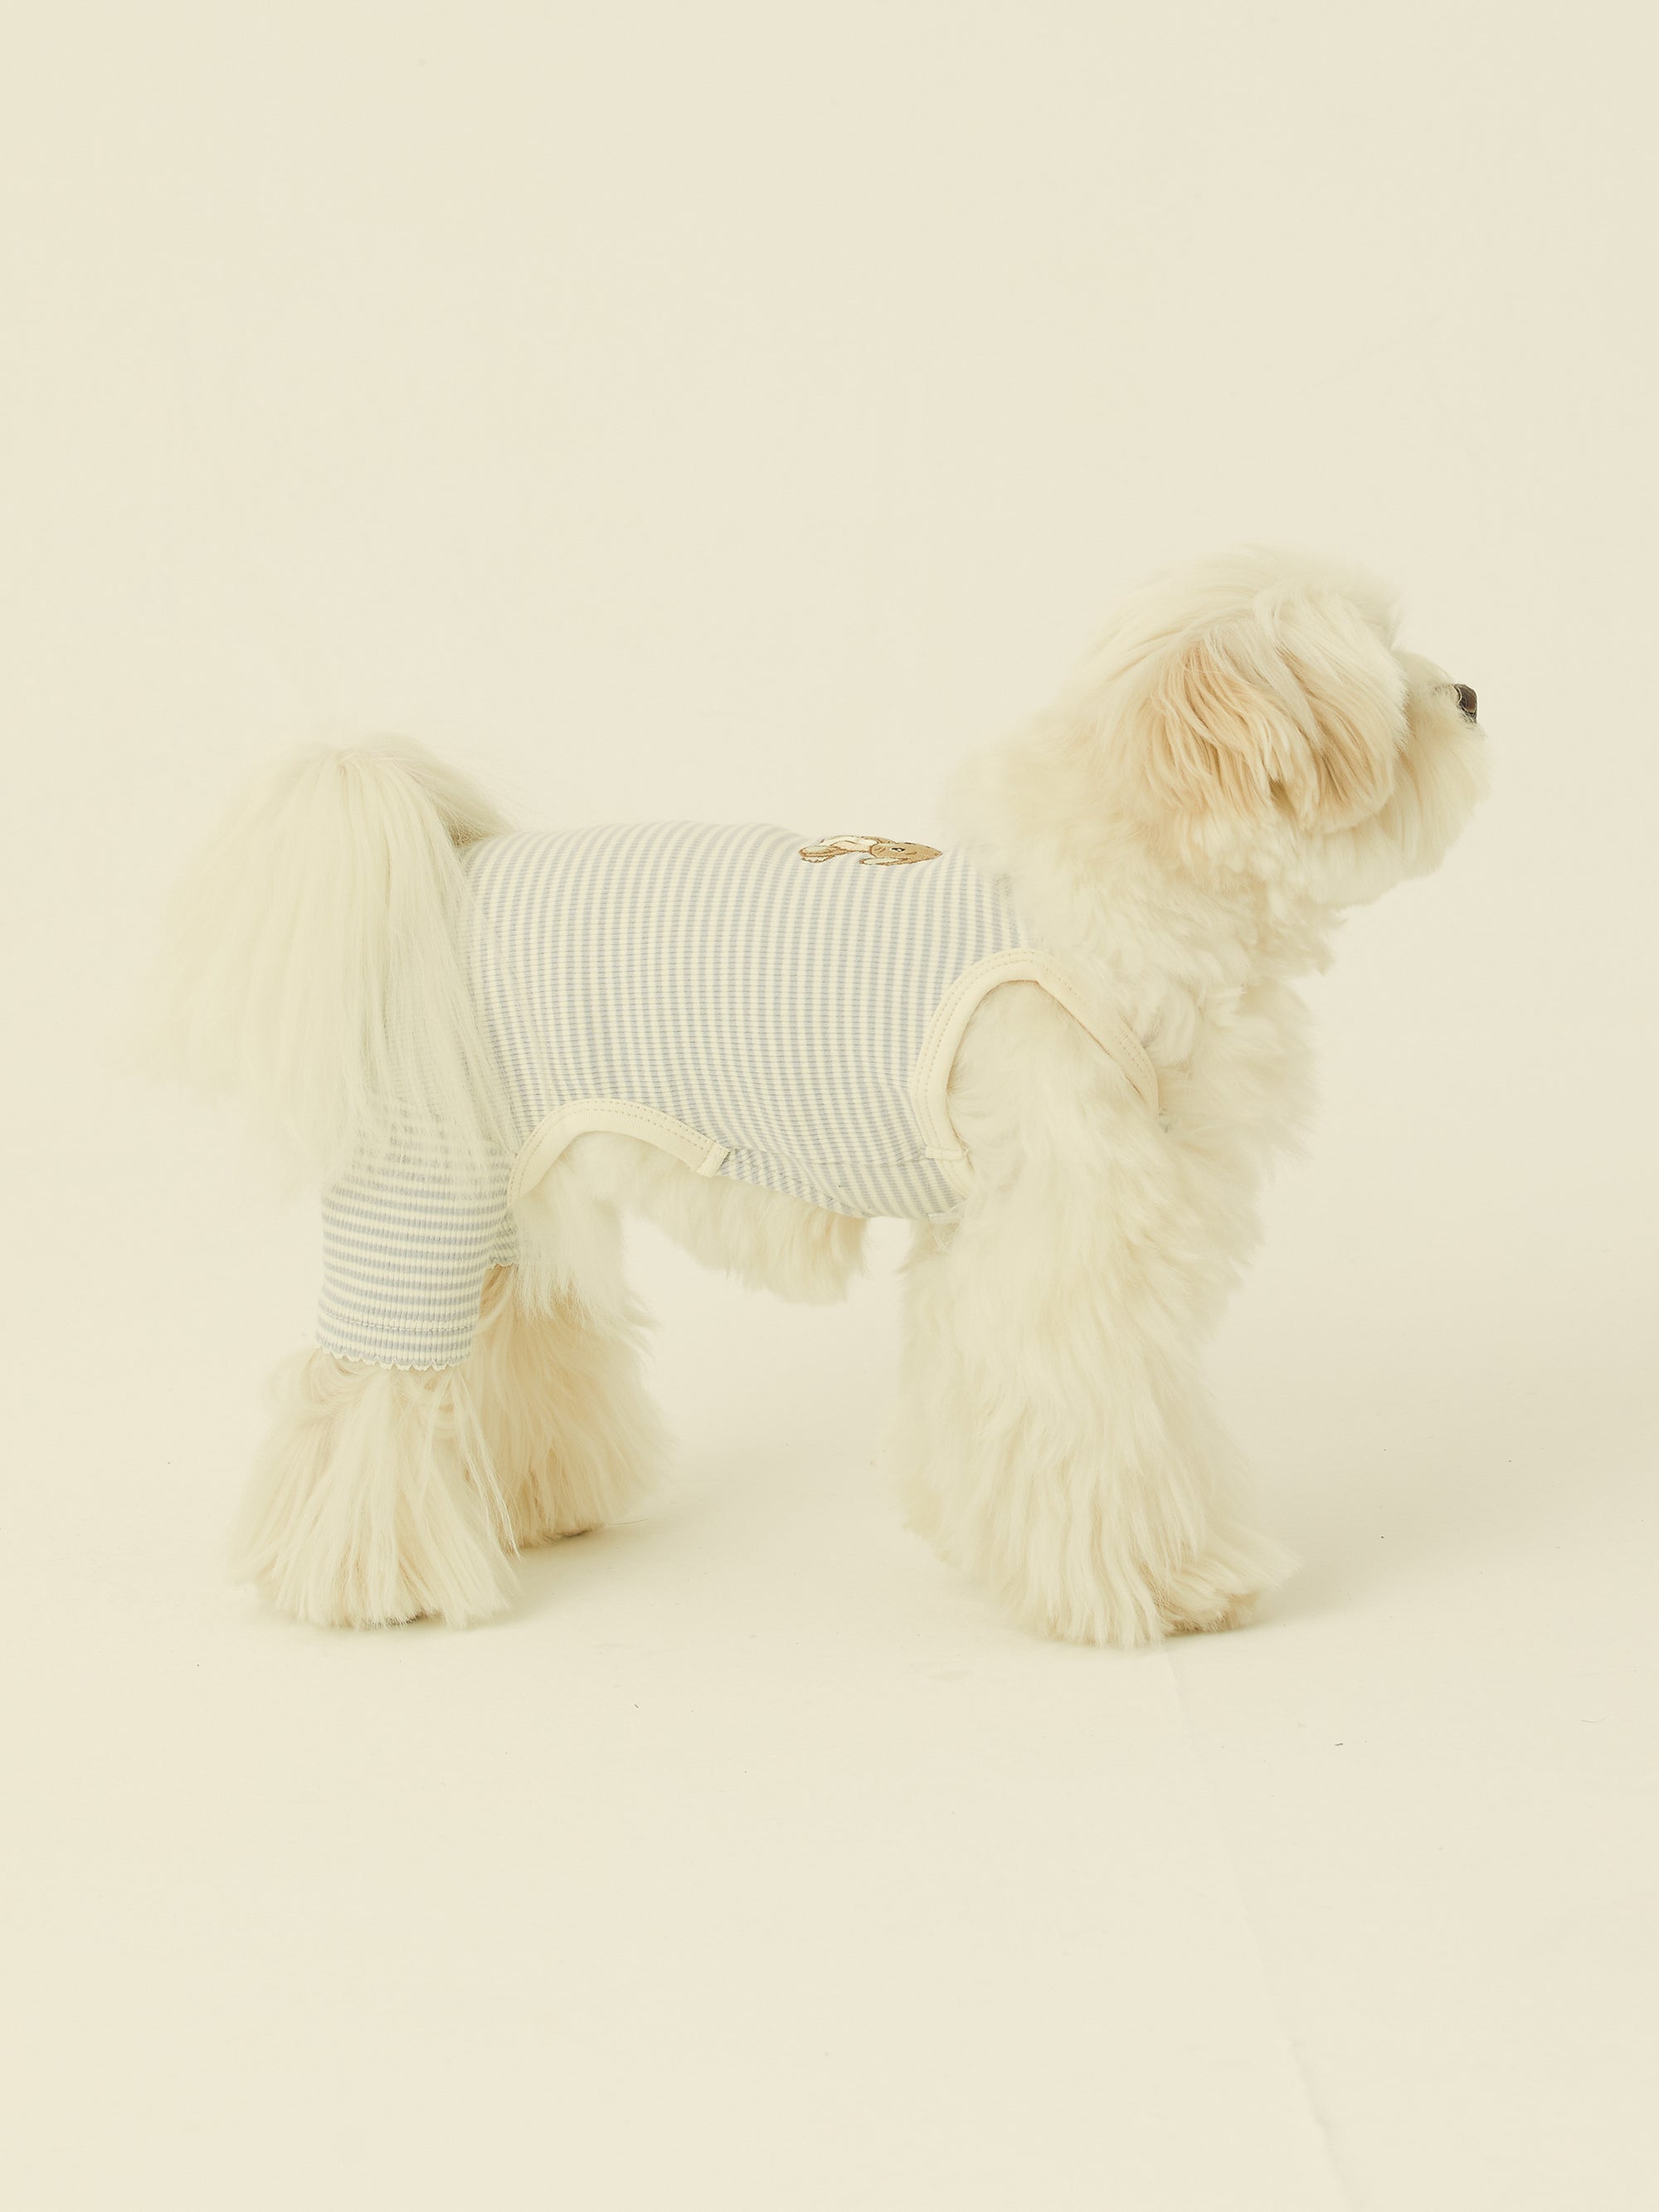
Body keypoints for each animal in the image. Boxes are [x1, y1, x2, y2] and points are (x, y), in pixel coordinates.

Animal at [153, 547, 1487, 1641]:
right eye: (1390, 679)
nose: (1473, 694)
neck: (1113, 883)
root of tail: (452, 865)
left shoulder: (982, 1236)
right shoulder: (1068, 1252)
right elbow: (1102, 1414)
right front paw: (1166, 1586)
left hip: (511, 1203)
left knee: (513, 1341)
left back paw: (540, 1507)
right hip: (421, 1190)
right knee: (364, 1387)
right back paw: (366, 1578)